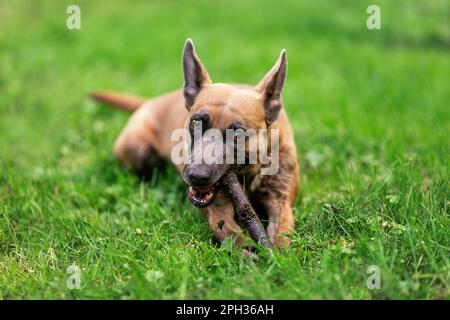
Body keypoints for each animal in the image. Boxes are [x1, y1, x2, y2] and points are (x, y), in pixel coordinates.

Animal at [91, 39, 298, 250]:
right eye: (195, 122)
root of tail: (151, 101)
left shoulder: (281, 202)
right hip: (138, 151)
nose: (197, 176)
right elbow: (231, 233)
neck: (247, 176)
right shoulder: (219, 210)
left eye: (238, 134)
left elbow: (281, 235)